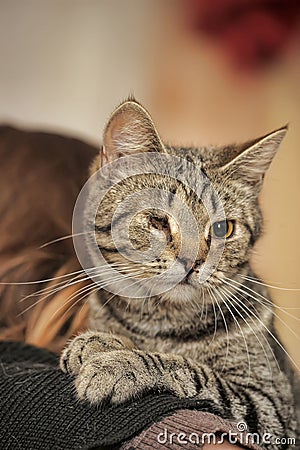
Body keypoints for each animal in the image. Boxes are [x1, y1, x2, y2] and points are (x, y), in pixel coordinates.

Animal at [60, 100, 298, 448]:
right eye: (158, 221)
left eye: (223, 228)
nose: (192, 261)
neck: (161, 324)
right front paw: (99, 340)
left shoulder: (269, 406)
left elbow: (192, 370)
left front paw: (121, 362)